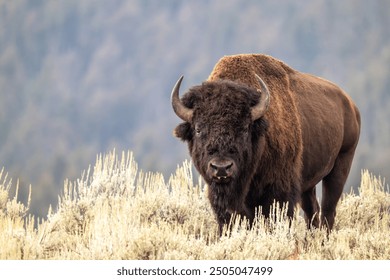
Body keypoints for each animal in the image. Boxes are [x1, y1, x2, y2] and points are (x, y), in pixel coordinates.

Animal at [172, 53, 362, 233]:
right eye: (198, 129)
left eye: (244, 128)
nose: (221, 168)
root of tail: (351, 106)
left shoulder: (279, 193)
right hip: (308, 183)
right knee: (312, 212)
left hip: (341, 165)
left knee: (328, 211)